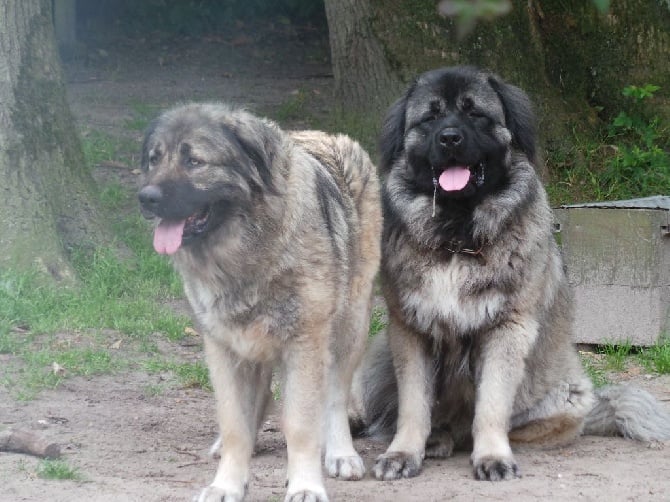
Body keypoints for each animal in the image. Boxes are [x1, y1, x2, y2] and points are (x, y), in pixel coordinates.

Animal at [138, 103, 380, 502]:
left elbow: (300, 424)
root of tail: (324, 134)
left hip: (351, 324)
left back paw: (341, 453)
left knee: (335, 395)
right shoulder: (223, 346)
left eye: (194, 161)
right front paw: (227, 483)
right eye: (154, 160)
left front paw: (305, 484)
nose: (146, 197)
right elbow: (234, 423)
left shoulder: (304, 343)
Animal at [352, 65, 670, 482]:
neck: (458, 239)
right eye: (431, 117)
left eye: (475, 113)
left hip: (563, 399)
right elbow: (413, 406)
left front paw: (492, 457)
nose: (450, 138)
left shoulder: (506, 329)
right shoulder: (410, 330)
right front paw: (403, 453)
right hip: (378, 357)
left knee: (478, 428)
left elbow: (490, 406)